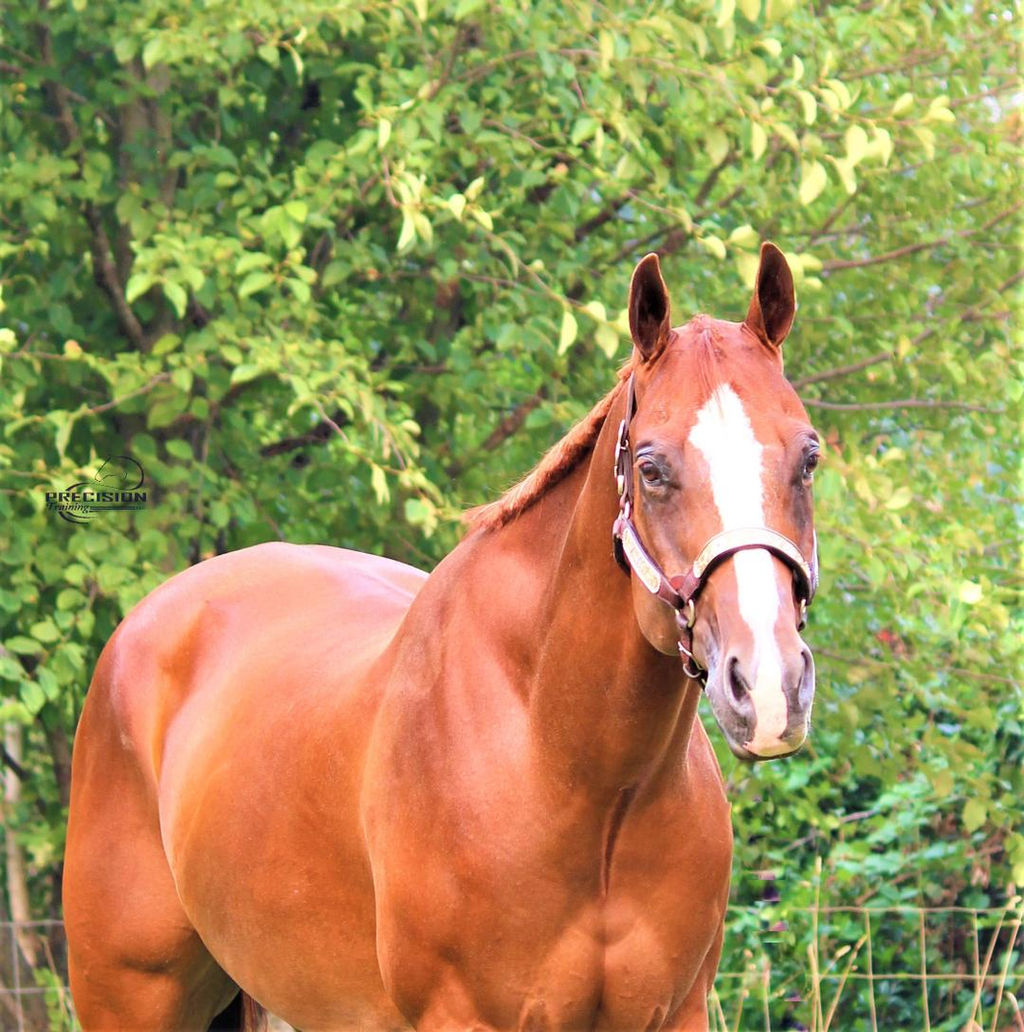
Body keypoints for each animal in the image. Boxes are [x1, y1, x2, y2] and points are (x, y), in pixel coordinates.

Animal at [63, 242, 819, 1032]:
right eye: (651, 467)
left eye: (808, 456)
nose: (768, 686)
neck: (570, 767)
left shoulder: (676, 1012)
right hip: (129, 997)